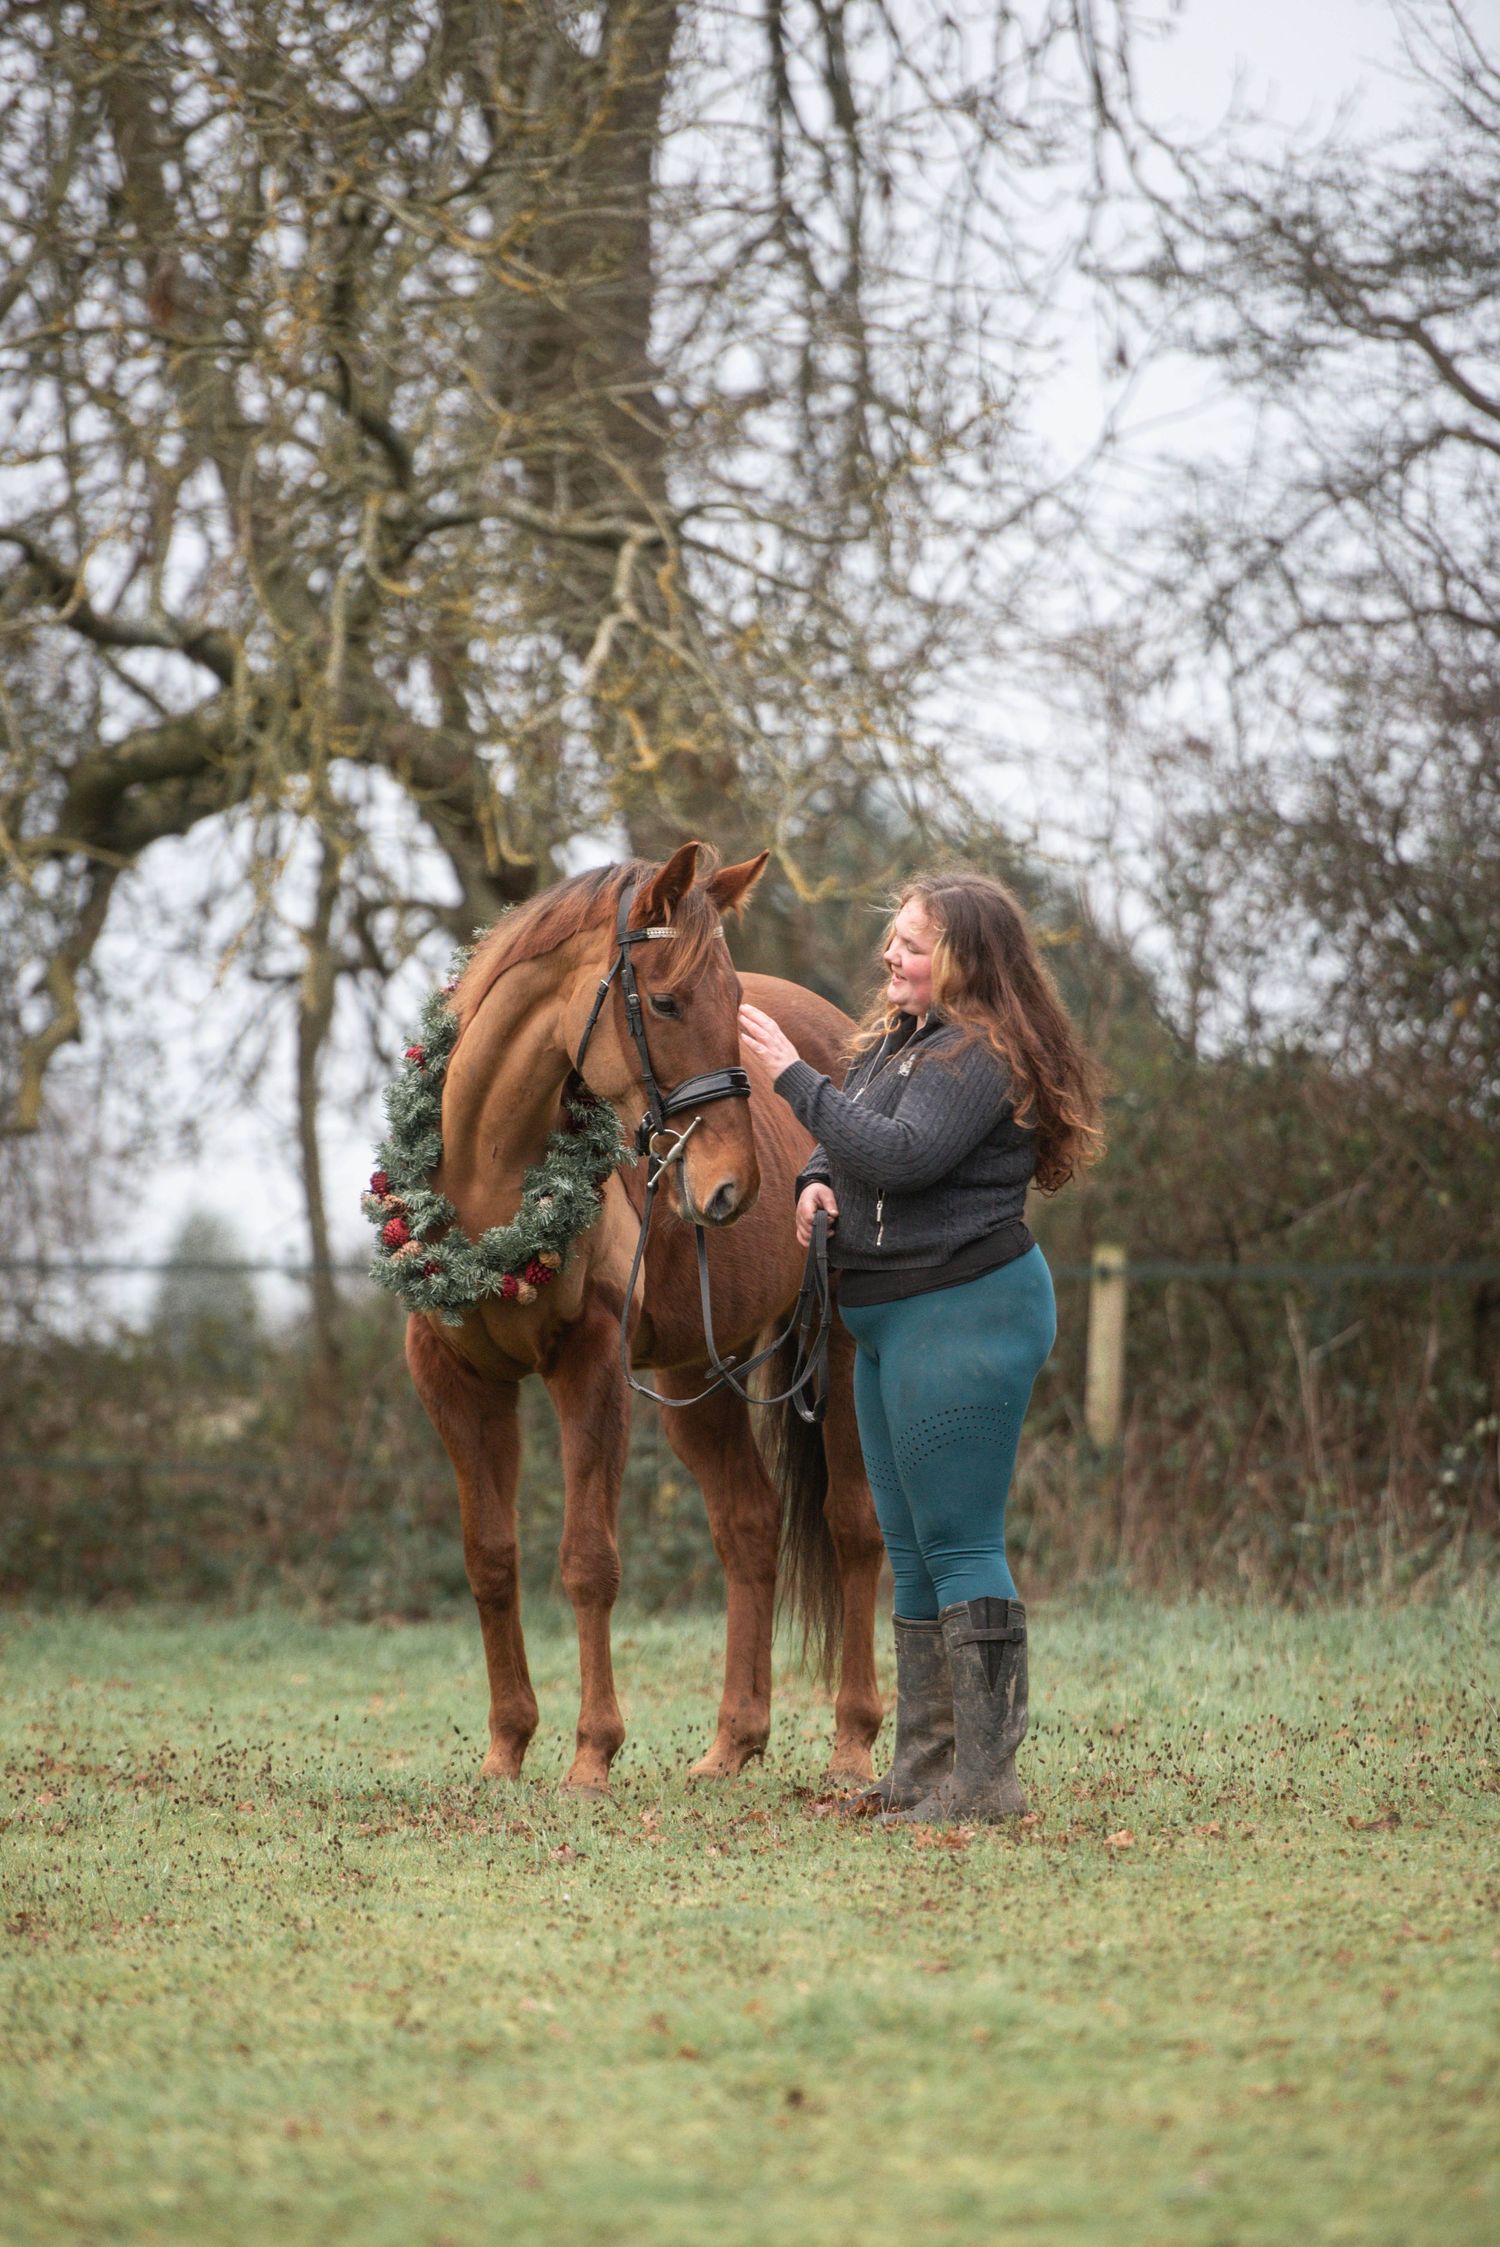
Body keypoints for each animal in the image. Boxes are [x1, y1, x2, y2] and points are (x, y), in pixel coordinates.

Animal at [401, 840, 886, 1795]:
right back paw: (733, 1742)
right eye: (664, 1001)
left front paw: (592, 1752)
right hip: (700, 1374)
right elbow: (491, 1558)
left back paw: (853, 1739)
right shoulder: (454, 1378)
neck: (488, 1180)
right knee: (749, 1527)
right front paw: (507, 1747)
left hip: (840, 1354)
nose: (734, 1186)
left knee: (854, 1526)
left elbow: (589, 1561)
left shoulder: (588, 1365)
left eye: (735, 1006)